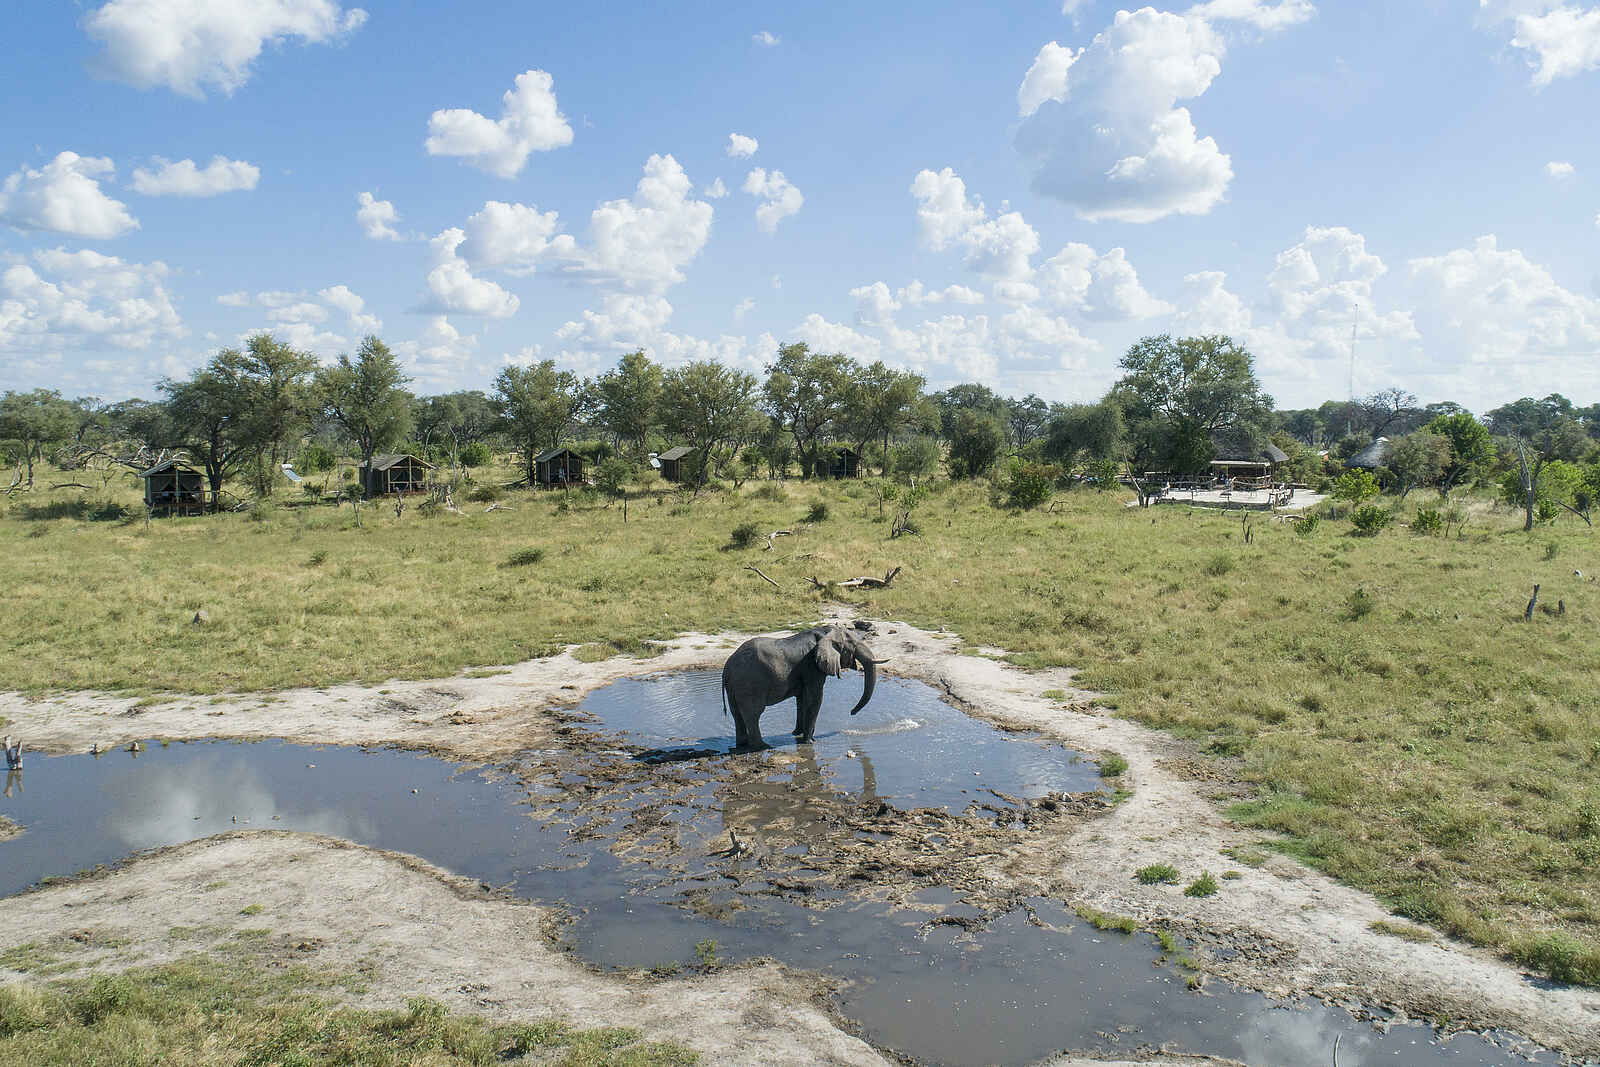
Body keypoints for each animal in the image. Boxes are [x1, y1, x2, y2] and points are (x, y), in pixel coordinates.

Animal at [721, 623, 887, 749]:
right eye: (854, 645)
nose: (851, 713)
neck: (825, 632)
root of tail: (727, 667)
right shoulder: (812, 666)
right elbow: (815, 698)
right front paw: (809, 742)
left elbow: (802, 699)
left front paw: (797, 734)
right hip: (750, 684)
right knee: (753, 713)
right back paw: (763, 747)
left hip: (735, 687)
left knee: (737, 714)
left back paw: (742, 745)